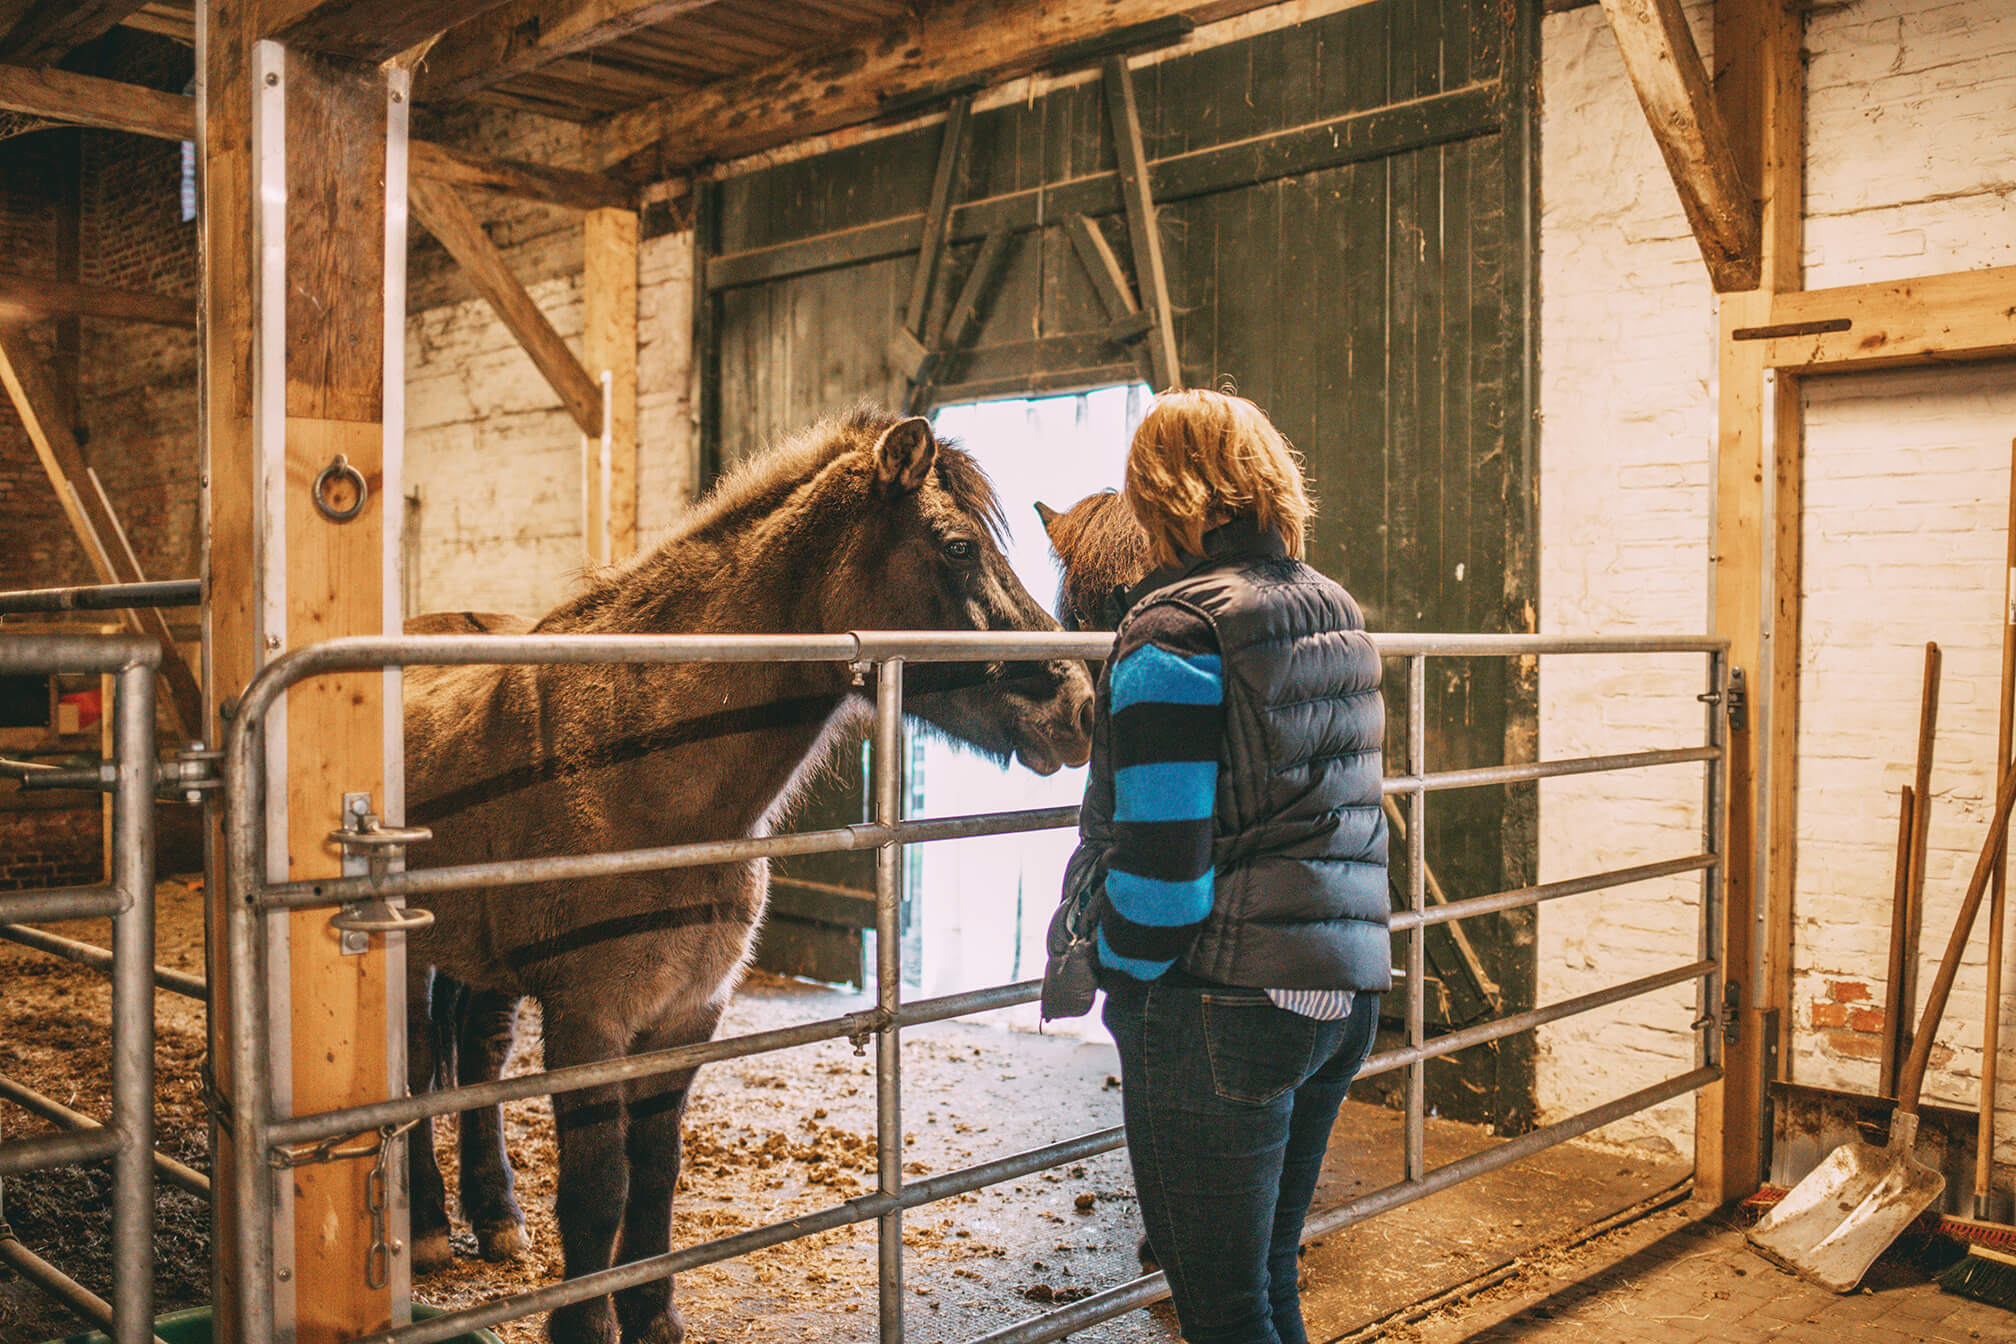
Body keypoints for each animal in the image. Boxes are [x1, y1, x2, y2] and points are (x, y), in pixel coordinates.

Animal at [405, 411, 1088, 1344]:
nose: (1080, 703)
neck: (635, 779)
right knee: (412, 1070)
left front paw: (653, 1317)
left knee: (475, 1057)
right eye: (956, 548)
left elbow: (654, 1176)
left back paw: (497, 1218)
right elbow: (596, 1193)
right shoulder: (591, 1022)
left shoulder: (688, 1015)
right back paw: (429, 1232)